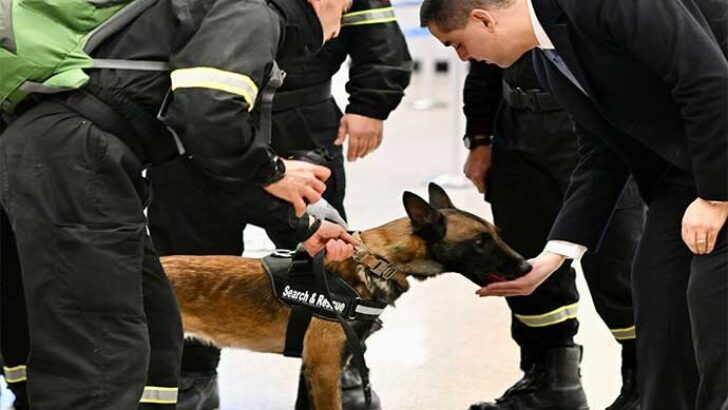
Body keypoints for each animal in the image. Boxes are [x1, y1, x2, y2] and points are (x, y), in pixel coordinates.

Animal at [162, 184, 532, 408]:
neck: (375, 262)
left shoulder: (315, 367)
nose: (528, 266)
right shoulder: (324, 368)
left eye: (497, 234)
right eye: (481, 242)